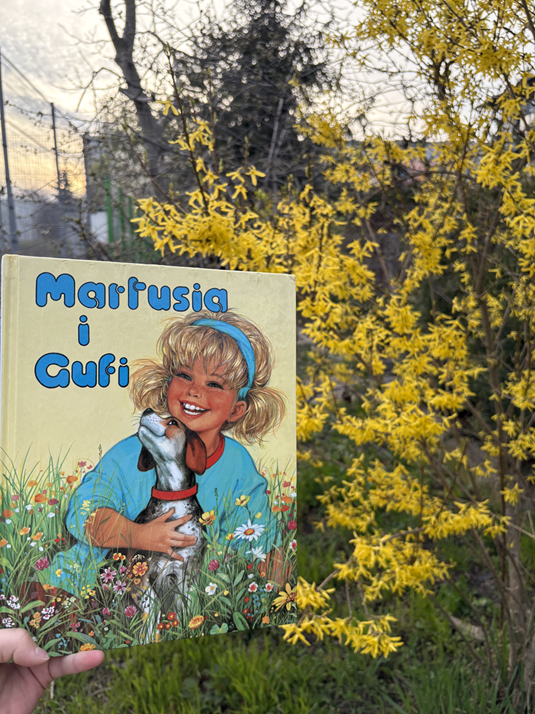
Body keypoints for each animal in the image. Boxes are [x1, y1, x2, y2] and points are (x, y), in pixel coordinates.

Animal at [132, 408, 207, 621]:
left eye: (173, 422)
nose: (147, 409)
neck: (174, 501)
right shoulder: (143, 572)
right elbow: (152, 607)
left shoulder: (187, 571)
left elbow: (187, 607)